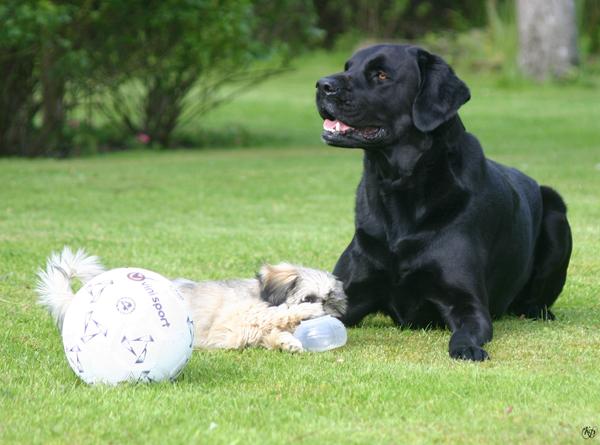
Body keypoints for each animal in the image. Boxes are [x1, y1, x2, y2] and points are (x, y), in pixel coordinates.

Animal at [37, 246, 346, 350]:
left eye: (331, 300)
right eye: (309, 297)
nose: (329, 315)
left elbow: (269, 331)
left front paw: (287, 342)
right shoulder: (234, 325)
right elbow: (274, 316)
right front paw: (303, 317)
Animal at [314, 43, 572, 360]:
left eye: (381, 74)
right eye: (348, 67)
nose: (322, 85)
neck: (400, 191)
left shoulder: (467, 302)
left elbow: (465, 331)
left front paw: (467, 348)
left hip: (557, 214)